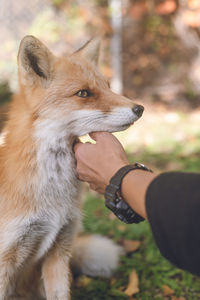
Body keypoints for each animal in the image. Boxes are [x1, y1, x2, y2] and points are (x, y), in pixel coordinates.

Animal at [0, 34, 145, 298]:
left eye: (108, 86)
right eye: (83, 93)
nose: (140, 108)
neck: (52, 197)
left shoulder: (58, 249)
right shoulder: (7, 258)